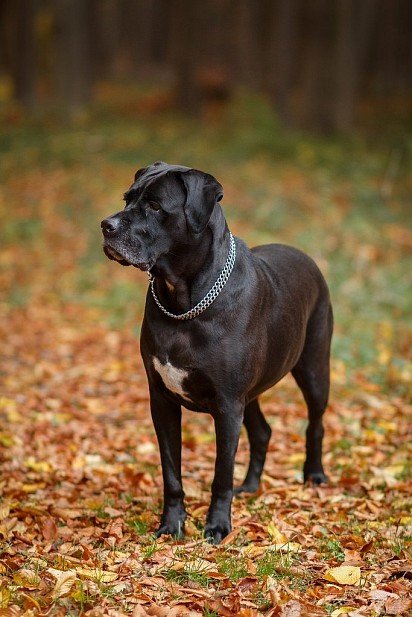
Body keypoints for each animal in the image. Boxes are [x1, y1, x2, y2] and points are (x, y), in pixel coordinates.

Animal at [101, 161, 334, 540]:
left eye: (155, 206)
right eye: (128, 198)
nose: (106, 226)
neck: (182, 300)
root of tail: (305, 256)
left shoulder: (227, 405)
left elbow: (221, 474)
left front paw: (217, 526)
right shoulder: (162, 401)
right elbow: (171, 473)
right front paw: (171, 524)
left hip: (313, 369)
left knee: (315, 423)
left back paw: (313, 474)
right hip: (250, 395)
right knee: (262, 431)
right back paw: (250, 486)